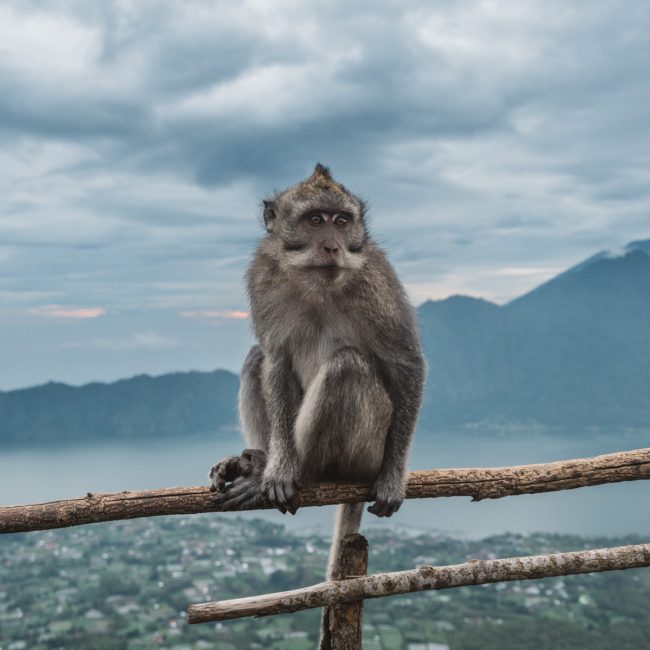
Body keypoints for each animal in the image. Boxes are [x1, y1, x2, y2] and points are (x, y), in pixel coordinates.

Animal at [209, 163, 426, 576]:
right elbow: (275, 360)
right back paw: (259, 461)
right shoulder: (262, 278)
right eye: (314, 220)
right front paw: (278, 469)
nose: (333, 246)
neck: (314, 279)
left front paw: (393, 480)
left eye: (341, 221)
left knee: (347, 366)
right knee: (257, 357)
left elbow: (406, 364)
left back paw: (305, 472)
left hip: (366, 454)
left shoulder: (378, 282)